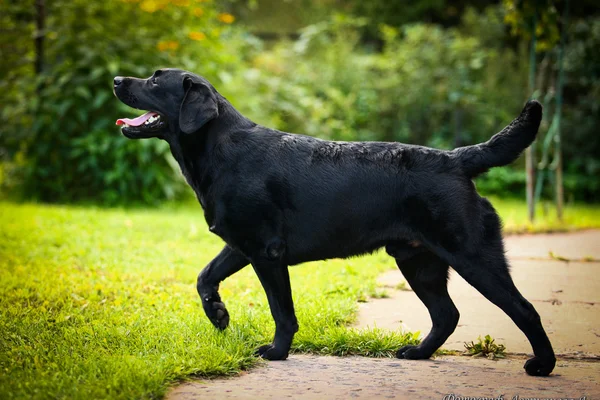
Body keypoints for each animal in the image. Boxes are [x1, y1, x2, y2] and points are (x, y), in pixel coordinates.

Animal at [113, 68, 556, 376]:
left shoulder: (266, 252)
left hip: (472, 254)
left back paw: (543, 365)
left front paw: (276, 352)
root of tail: (456, 158)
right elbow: (205, 276)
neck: (220, 149)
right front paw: (218, 315)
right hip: (418, 262)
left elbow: (282, 311)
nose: (117, 79)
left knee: (524, 309)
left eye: (155, 79)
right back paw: (417, 352)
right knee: (446, 314)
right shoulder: (241, 244)